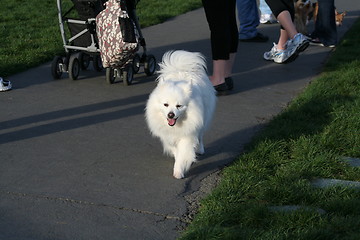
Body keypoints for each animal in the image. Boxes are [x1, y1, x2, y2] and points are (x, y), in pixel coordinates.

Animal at [144, 50, 217, 178]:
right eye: (166, 105)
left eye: (179, 106)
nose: (171, 115)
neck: (176, 126)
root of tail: (182, 69)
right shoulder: (169, 136)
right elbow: (175, 150)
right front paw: (178, 159)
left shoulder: (188, 135)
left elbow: (183, 153)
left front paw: (178, 170)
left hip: (204, 119)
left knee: (200, 135)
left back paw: (200, 149)